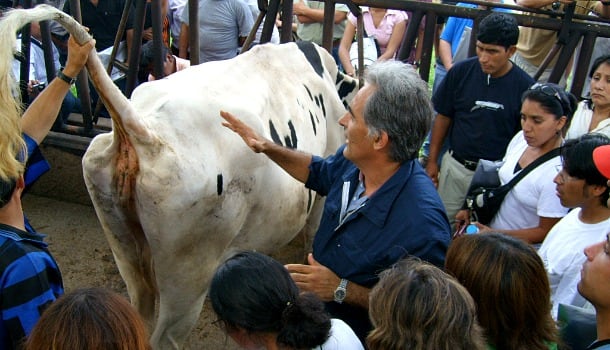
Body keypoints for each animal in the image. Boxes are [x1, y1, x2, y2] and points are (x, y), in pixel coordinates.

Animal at [0, 4, 358, 348]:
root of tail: (144, 130)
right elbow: (313, 234)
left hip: (124, 245)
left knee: (139, 312)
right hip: (189, 270)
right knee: (166, 336)